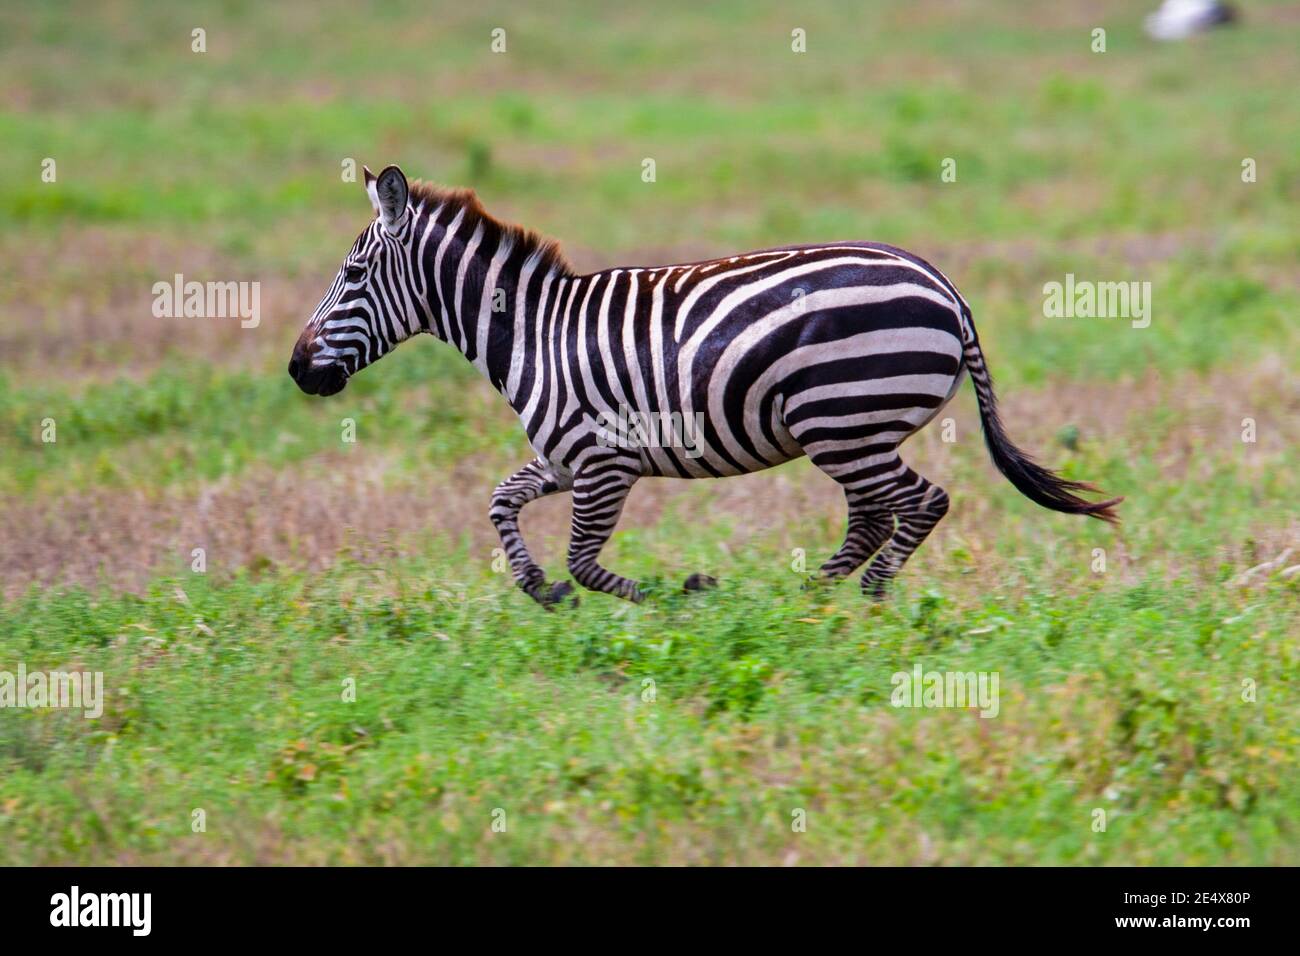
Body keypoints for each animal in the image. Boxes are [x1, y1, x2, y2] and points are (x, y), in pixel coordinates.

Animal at [289, 165, 1121, 606]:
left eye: (352, 276)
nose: (297, 369)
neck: (534, 333)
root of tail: (947, 290)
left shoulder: (603, 464)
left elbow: (585, 560)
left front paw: (678, 593)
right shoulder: (563, 458)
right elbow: (501, 502)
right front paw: (537, 587)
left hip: (842, 420)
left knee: (919, 504)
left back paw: (852, 600)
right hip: (853, 431)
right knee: (874, 516)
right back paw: (811, 601)